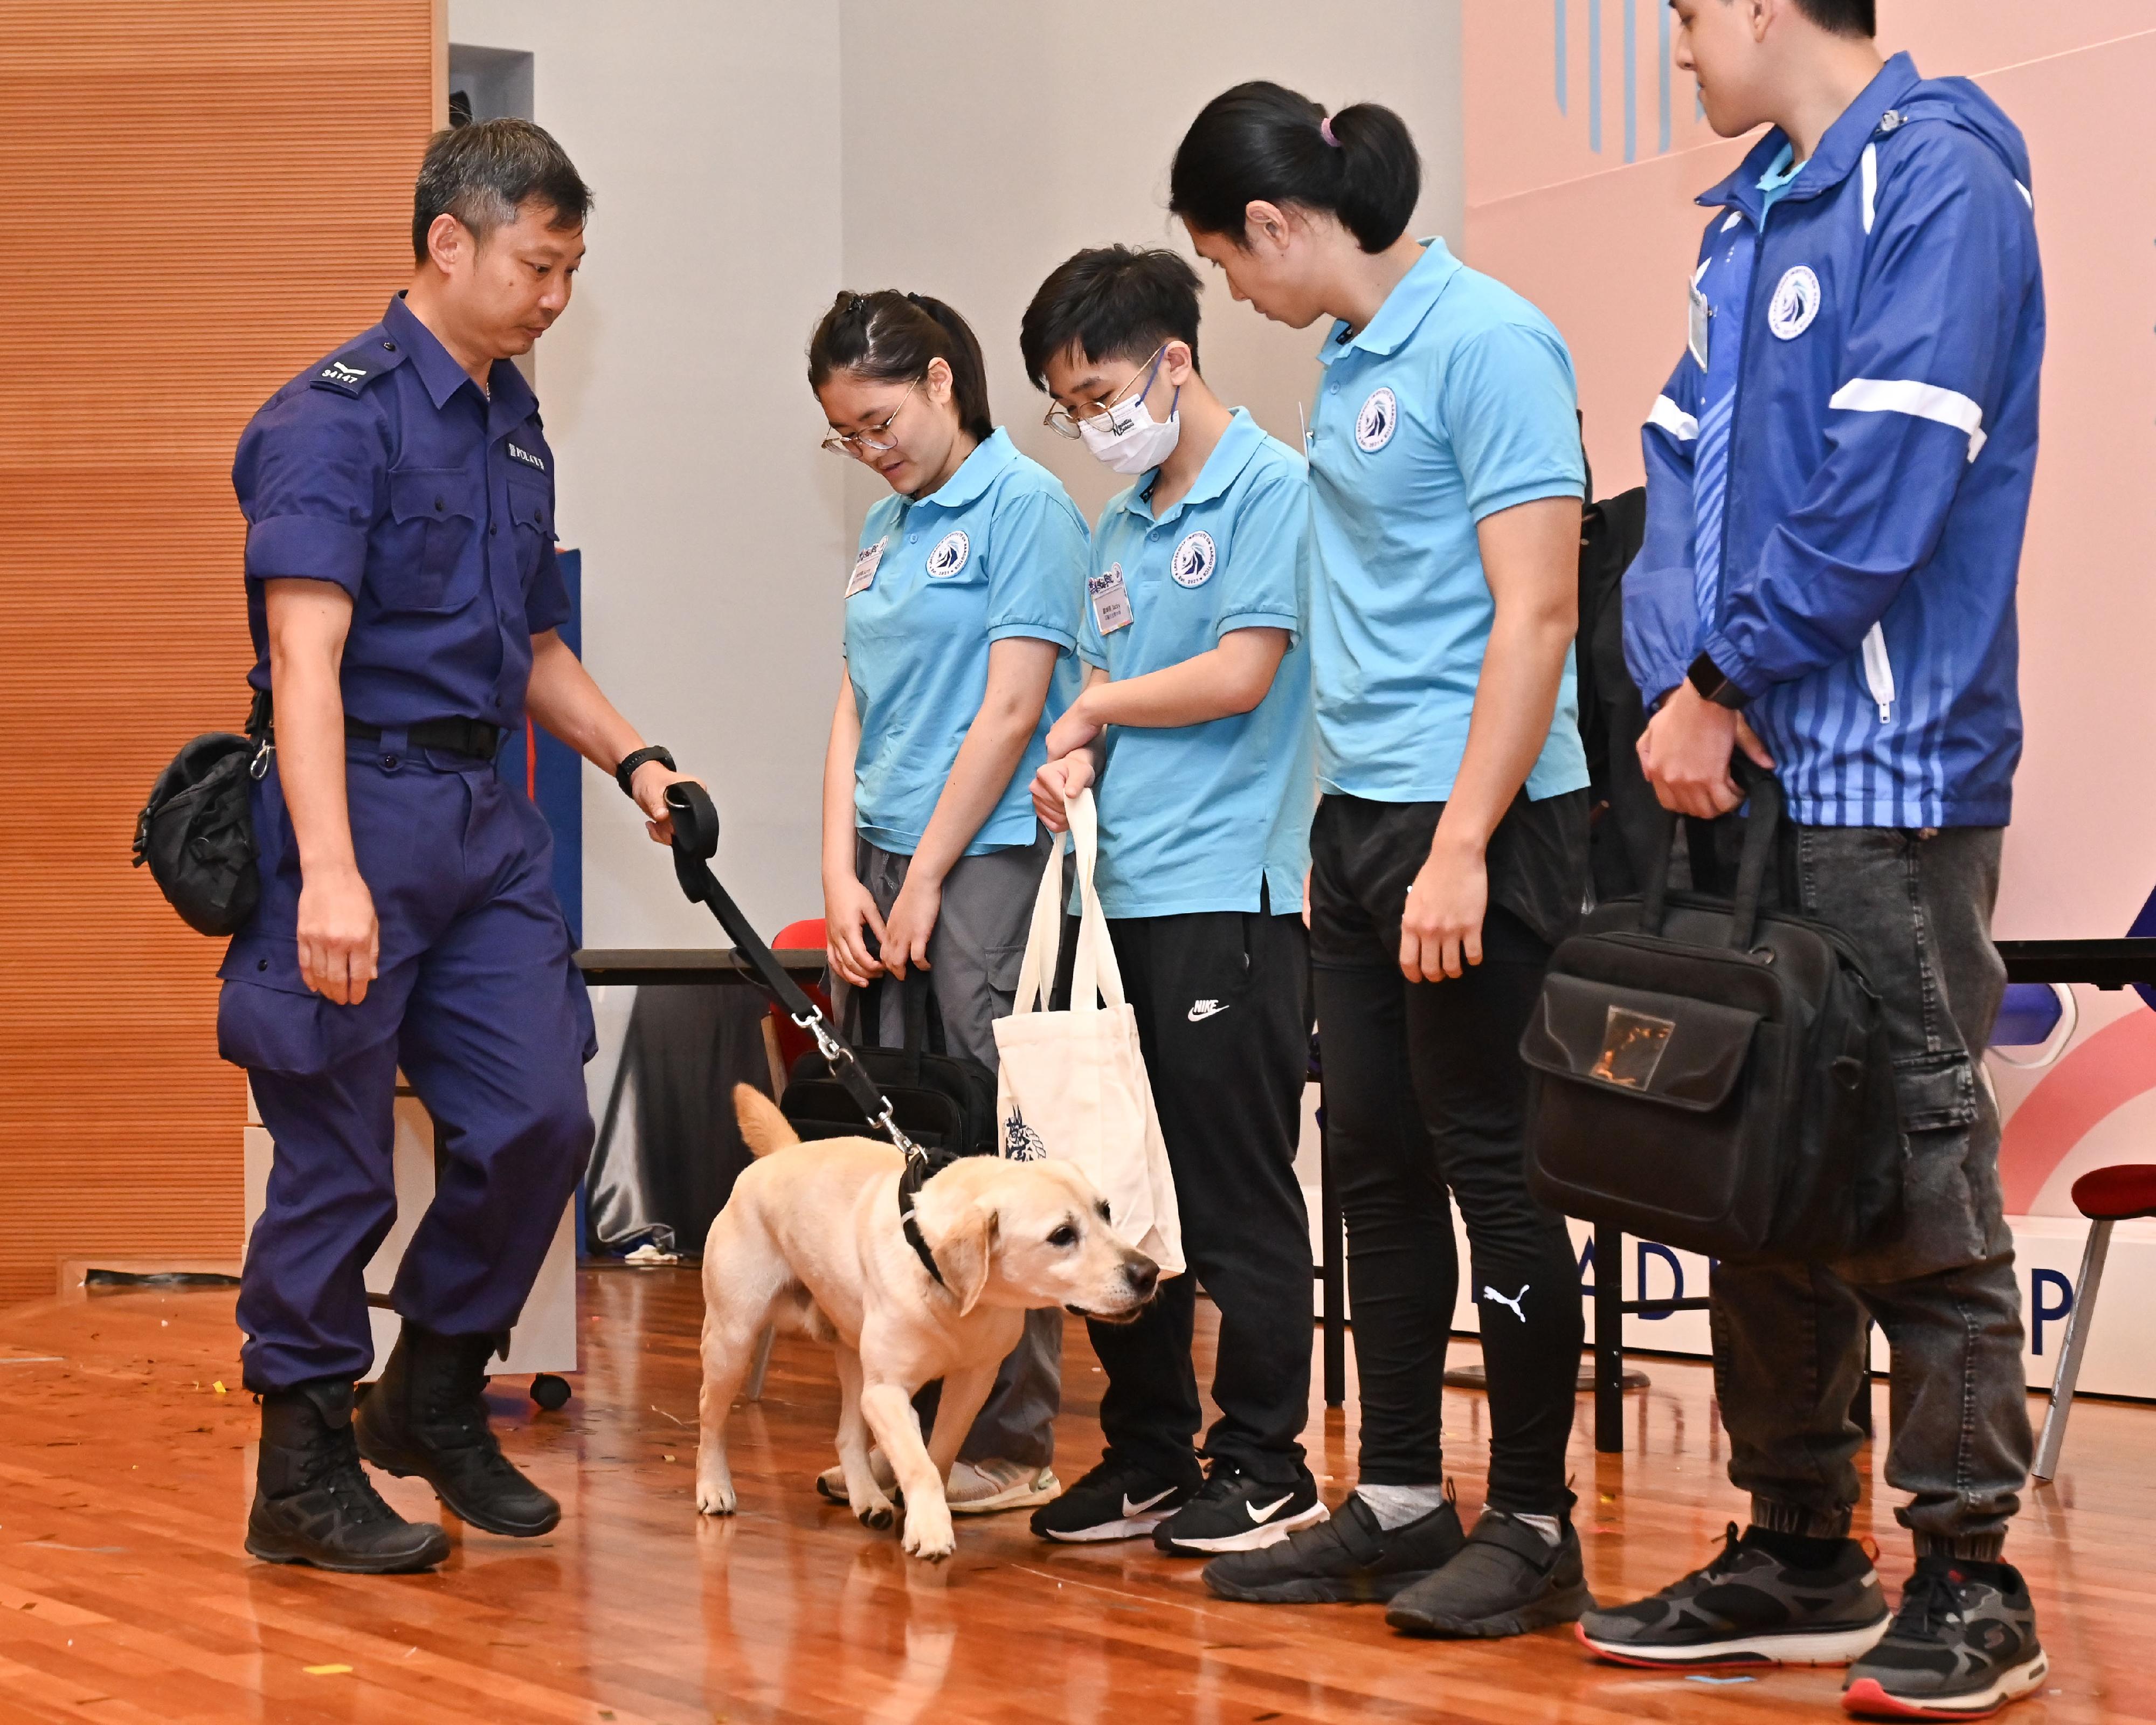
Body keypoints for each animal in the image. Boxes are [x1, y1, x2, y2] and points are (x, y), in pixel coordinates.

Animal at [699, 1091, 1156, 1561]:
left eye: (1106, 1212)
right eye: (1062, 1235)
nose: (1149, 1273)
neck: (956, 1291)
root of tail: (783, 1153)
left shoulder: (971, 1383)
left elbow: (940, 1454)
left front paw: (918, 1510)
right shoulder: (887, 1392)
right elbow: (919, 1464)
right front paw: (931, 1530)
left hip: (854, 1358)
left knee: (847, 1438)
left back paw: (868, 1500)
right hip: (733, 1341)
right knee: (710, 1418)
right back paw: (714, 1488)